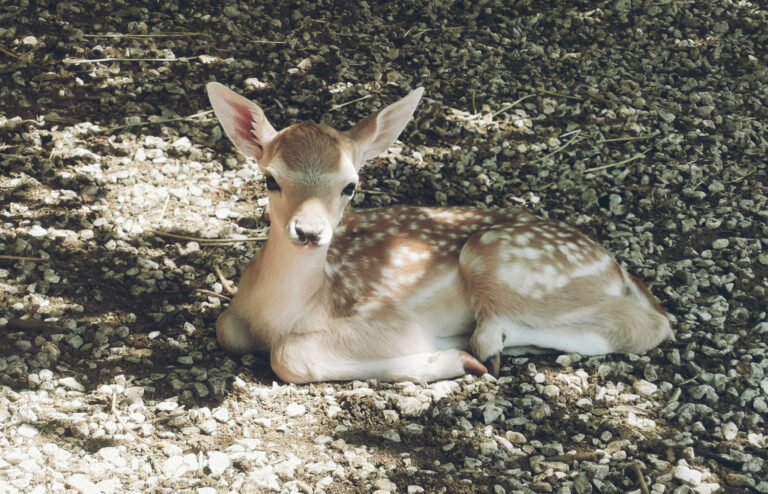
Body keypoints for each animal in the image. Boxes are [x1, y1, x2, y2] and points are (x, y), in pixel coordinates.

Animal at [206, 81, 672, 384]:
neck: (280, 314)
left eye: (350, 185)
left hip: (498, 258)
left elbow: (289, 356)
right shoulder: (234, 319)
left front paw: (446, 361)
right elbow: (225, 328)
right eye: (270, 179)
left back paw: (482, 347)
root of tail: (619, 272)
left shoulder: (393, 323)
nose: (309, 231)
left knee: (649, 326)